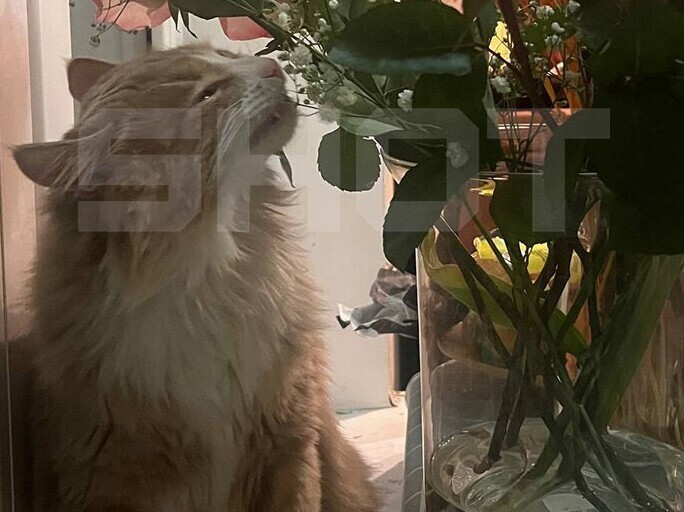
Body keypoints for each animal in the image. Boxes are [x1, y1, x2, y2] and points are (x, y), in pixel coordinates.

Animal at [12, 45, 379, 512]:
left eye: (225, 54)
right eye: (207, 95)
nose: (271, 66)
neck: (206, 279)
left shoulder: (290, 441)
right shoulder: (109, 476)